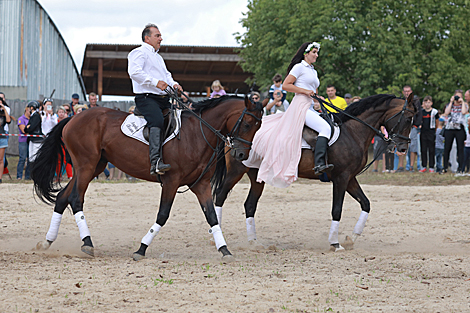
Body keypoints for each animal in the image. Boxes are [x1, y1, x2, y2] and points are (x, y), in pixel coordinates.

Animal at [29, 95, 264, 260]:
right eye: (246, 124)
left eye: (259, 126)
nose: (242, 155)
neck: (197, 134)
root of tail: (73, 117)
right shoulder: (171, 182)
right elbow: (162, 215)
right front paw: (141, 249)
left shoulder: (201, 185)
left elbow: (212, 216)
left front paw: (225, 250)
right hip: (86, 166)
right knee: (76, 199)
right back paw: (87, 244)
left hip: (92, 167)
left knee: (62, 197)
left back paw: (47, 242)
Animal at [211, 92, 416, 251]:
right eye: (408, 119)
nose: (403, 148)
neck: (352, 132)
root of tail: (231, 132)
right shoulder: (341, 178)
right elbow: (337, 209)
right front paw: (335, 243)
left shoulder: (350, 178)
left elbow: (365, 203)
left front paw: (352, 238)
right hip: (236, 170)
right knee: (220, 196)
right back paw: (216, 236)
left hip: (256, 175)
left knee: (250, 205)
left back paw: (254, 243)